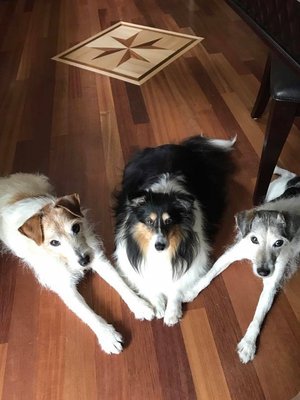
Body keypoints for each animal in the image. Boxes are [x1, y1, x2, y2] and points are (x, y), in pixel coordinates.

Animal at [186, 166, 300, 362]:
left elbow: (258, 316)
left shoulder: (271, 285)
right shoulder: (230, 254)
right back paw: (279, 169)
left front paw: (248, 344)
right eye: (254, 239)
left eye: (279, 243)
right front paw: (192, 290)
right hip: (271, 191)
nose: (263, 272)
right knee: (288, 174)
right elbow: (208, 275)